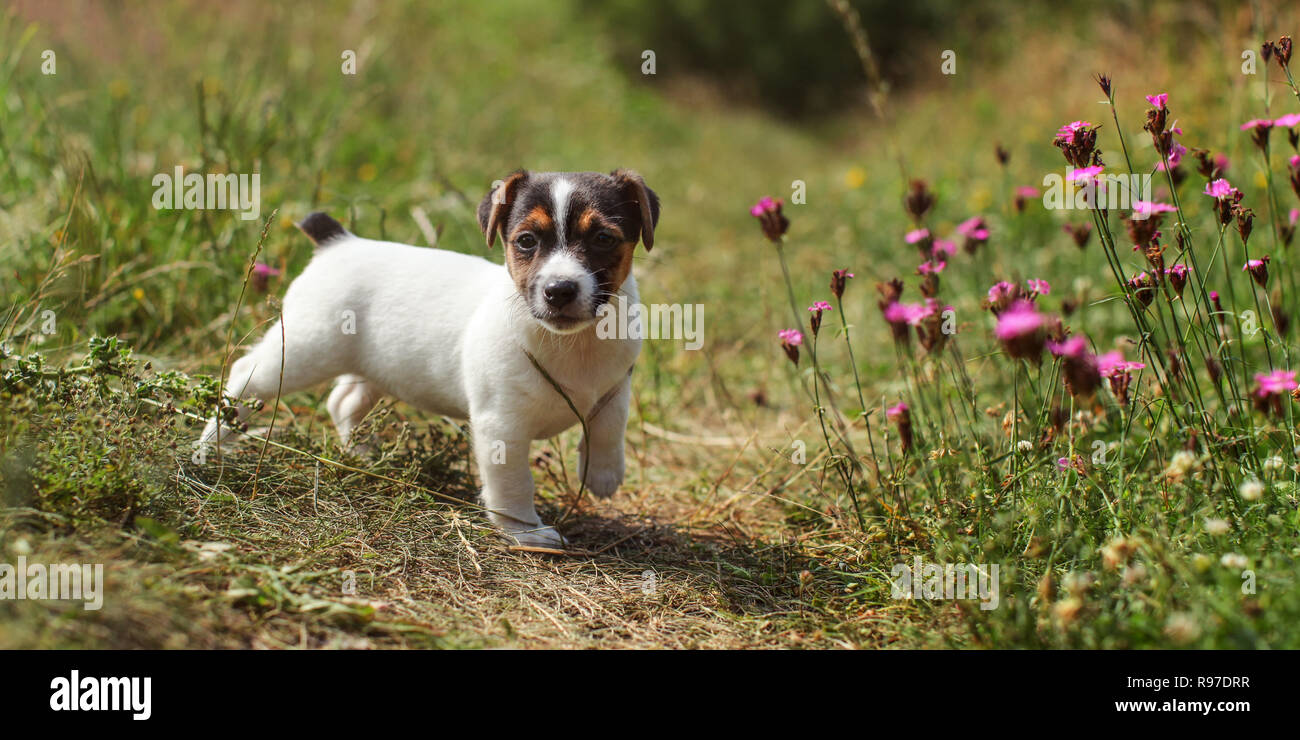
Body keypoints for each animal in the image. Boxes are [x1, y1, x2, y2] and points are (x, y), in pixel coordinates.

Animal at [200, 170, 660, 546]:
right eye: (527, 241)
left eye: (603, 239)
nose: (559, 290)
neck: (573, 344)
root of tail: (339, 243)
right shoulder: (501, 427)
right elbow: (514, 483)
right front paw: (525, 532)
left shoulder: (616, 384)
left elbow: (610, 425)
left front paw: (603, 475)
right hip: (302, 350)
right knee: (245, 376)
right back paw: (212, 446)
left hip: (375, 366)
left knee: (343, 401)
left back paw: (362, 453)